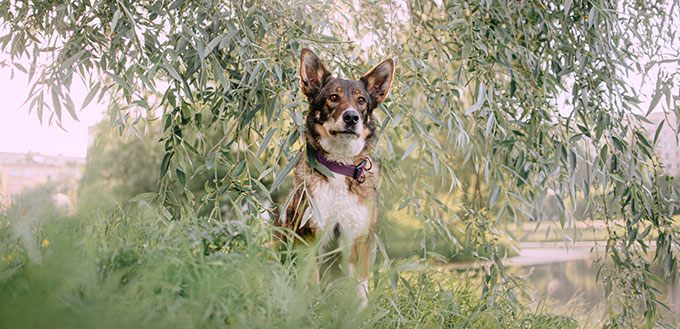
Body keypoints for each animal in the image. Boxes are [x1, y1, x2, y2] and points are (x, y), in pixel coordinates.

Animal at [276, 47, 394, 304]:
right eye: (333, 97)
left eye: (361, 100)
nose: (351, 117)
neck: (339, 166)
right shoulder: (309, 236)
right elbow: (311, 284)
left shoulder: (358, 239)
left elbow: (360, 291)